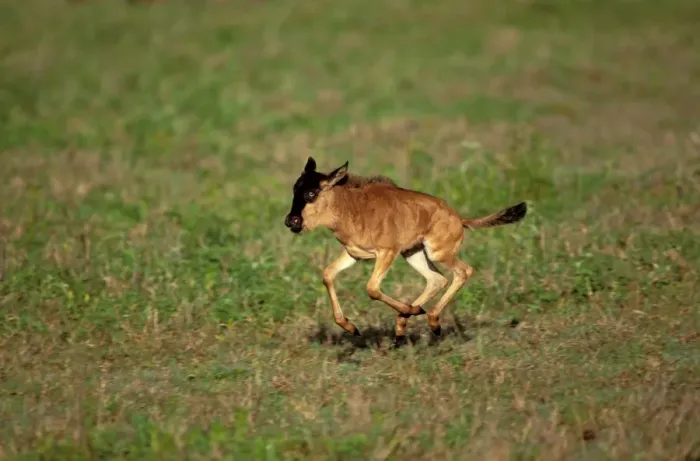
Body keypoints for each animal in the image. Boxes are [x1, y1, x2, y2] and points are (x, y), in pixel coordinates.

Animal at [284, 157, 527, 346]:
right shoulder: (354, 254)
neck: (352, 208)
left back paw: (430, 321)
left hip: (437, 253)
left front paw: (411, 311)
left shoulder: (387, 252)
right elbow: (327, 274)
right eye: (295, 188)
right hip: (413, 254)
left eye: (312, 193)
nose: (291, 221)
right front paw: (352, 328)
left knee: (463, 272)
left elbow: (372, 288)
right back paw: (404, 325)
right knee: (437, 279)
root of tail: (459, 219)